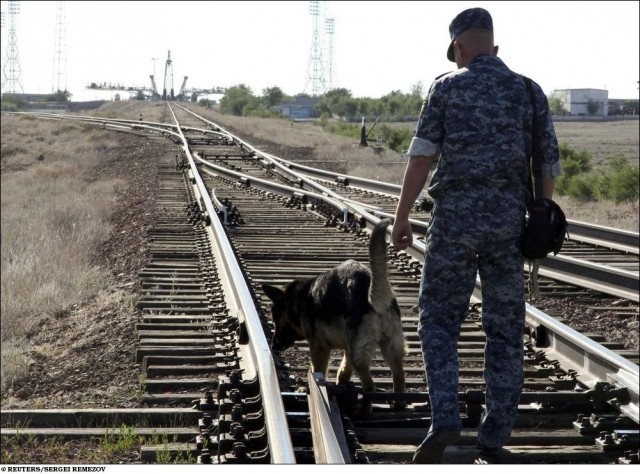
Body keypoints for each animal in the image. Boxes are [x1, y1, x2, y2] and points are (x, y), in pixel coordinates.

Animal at [262, 218, 408, 408]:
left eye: (275, 318)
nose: (273, 346)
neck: (301, 299)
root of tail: (369, 291)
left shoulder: (319, 348)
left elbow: (317, 372)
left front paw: (310, 389)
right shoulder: (347, 347)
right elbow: (344, 368)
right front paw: (341, 383)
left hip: (360, 355)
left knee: (369, 385)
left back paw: (364, 409)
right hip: (389, 348)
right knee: (399, 375)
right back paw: (398, 403)